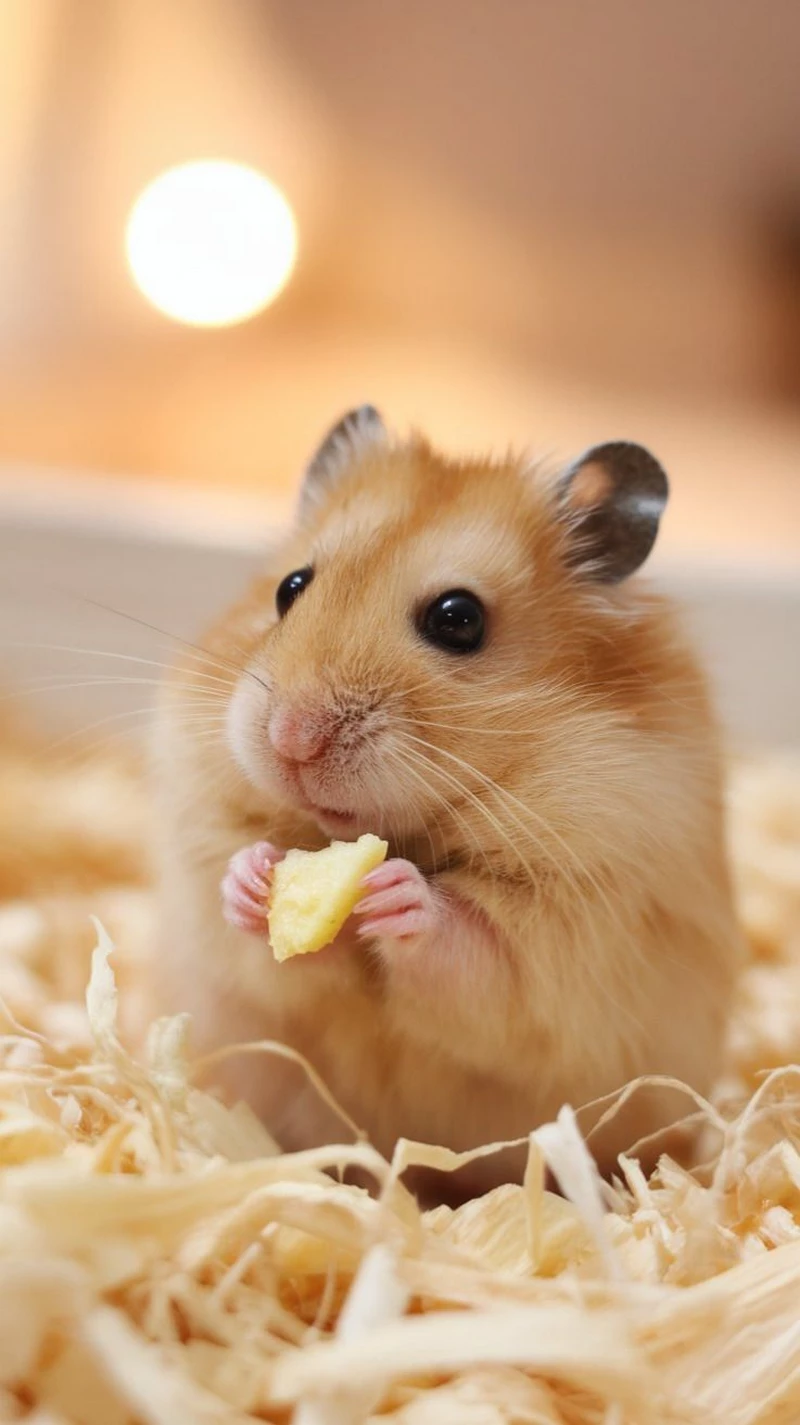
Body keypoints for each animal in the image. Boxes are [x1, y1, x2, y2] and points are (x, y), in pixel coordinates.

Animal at [153, 406, 744, 1198]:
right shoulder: (209, 858)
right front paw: (253, 878)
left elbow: (478, 946)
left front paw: (399, 895)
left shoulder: (570, 924)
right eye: (290, 588)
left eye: (458, 619)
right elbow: (258, 938)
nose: (292, 739)